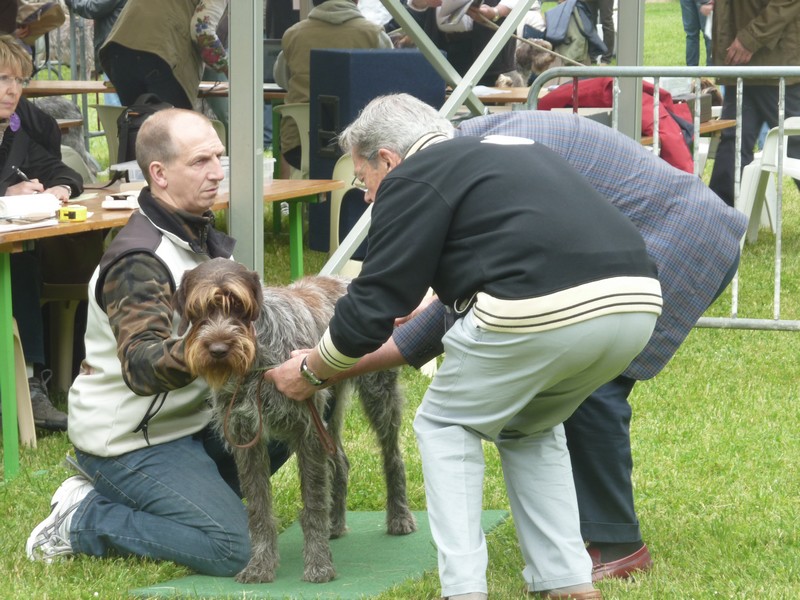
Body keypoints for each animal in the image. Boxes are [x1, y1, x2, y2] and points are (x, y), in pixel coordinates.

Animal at [172, 256, 416, 580]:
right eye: (198, 310)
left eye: (238, 304)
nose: (218, 349)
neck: (257, 363)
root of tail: (348, 281)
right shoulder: (245, 436)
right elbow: (259, 508)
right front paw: (261, 565)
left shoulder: (307, 431)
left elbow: (312, 503)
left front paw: (318, 564)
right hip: (330, 410)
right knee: (340, 462)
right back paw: (334, 524)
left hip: (379, 395)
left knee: (392, 457)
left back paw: (399, 516)